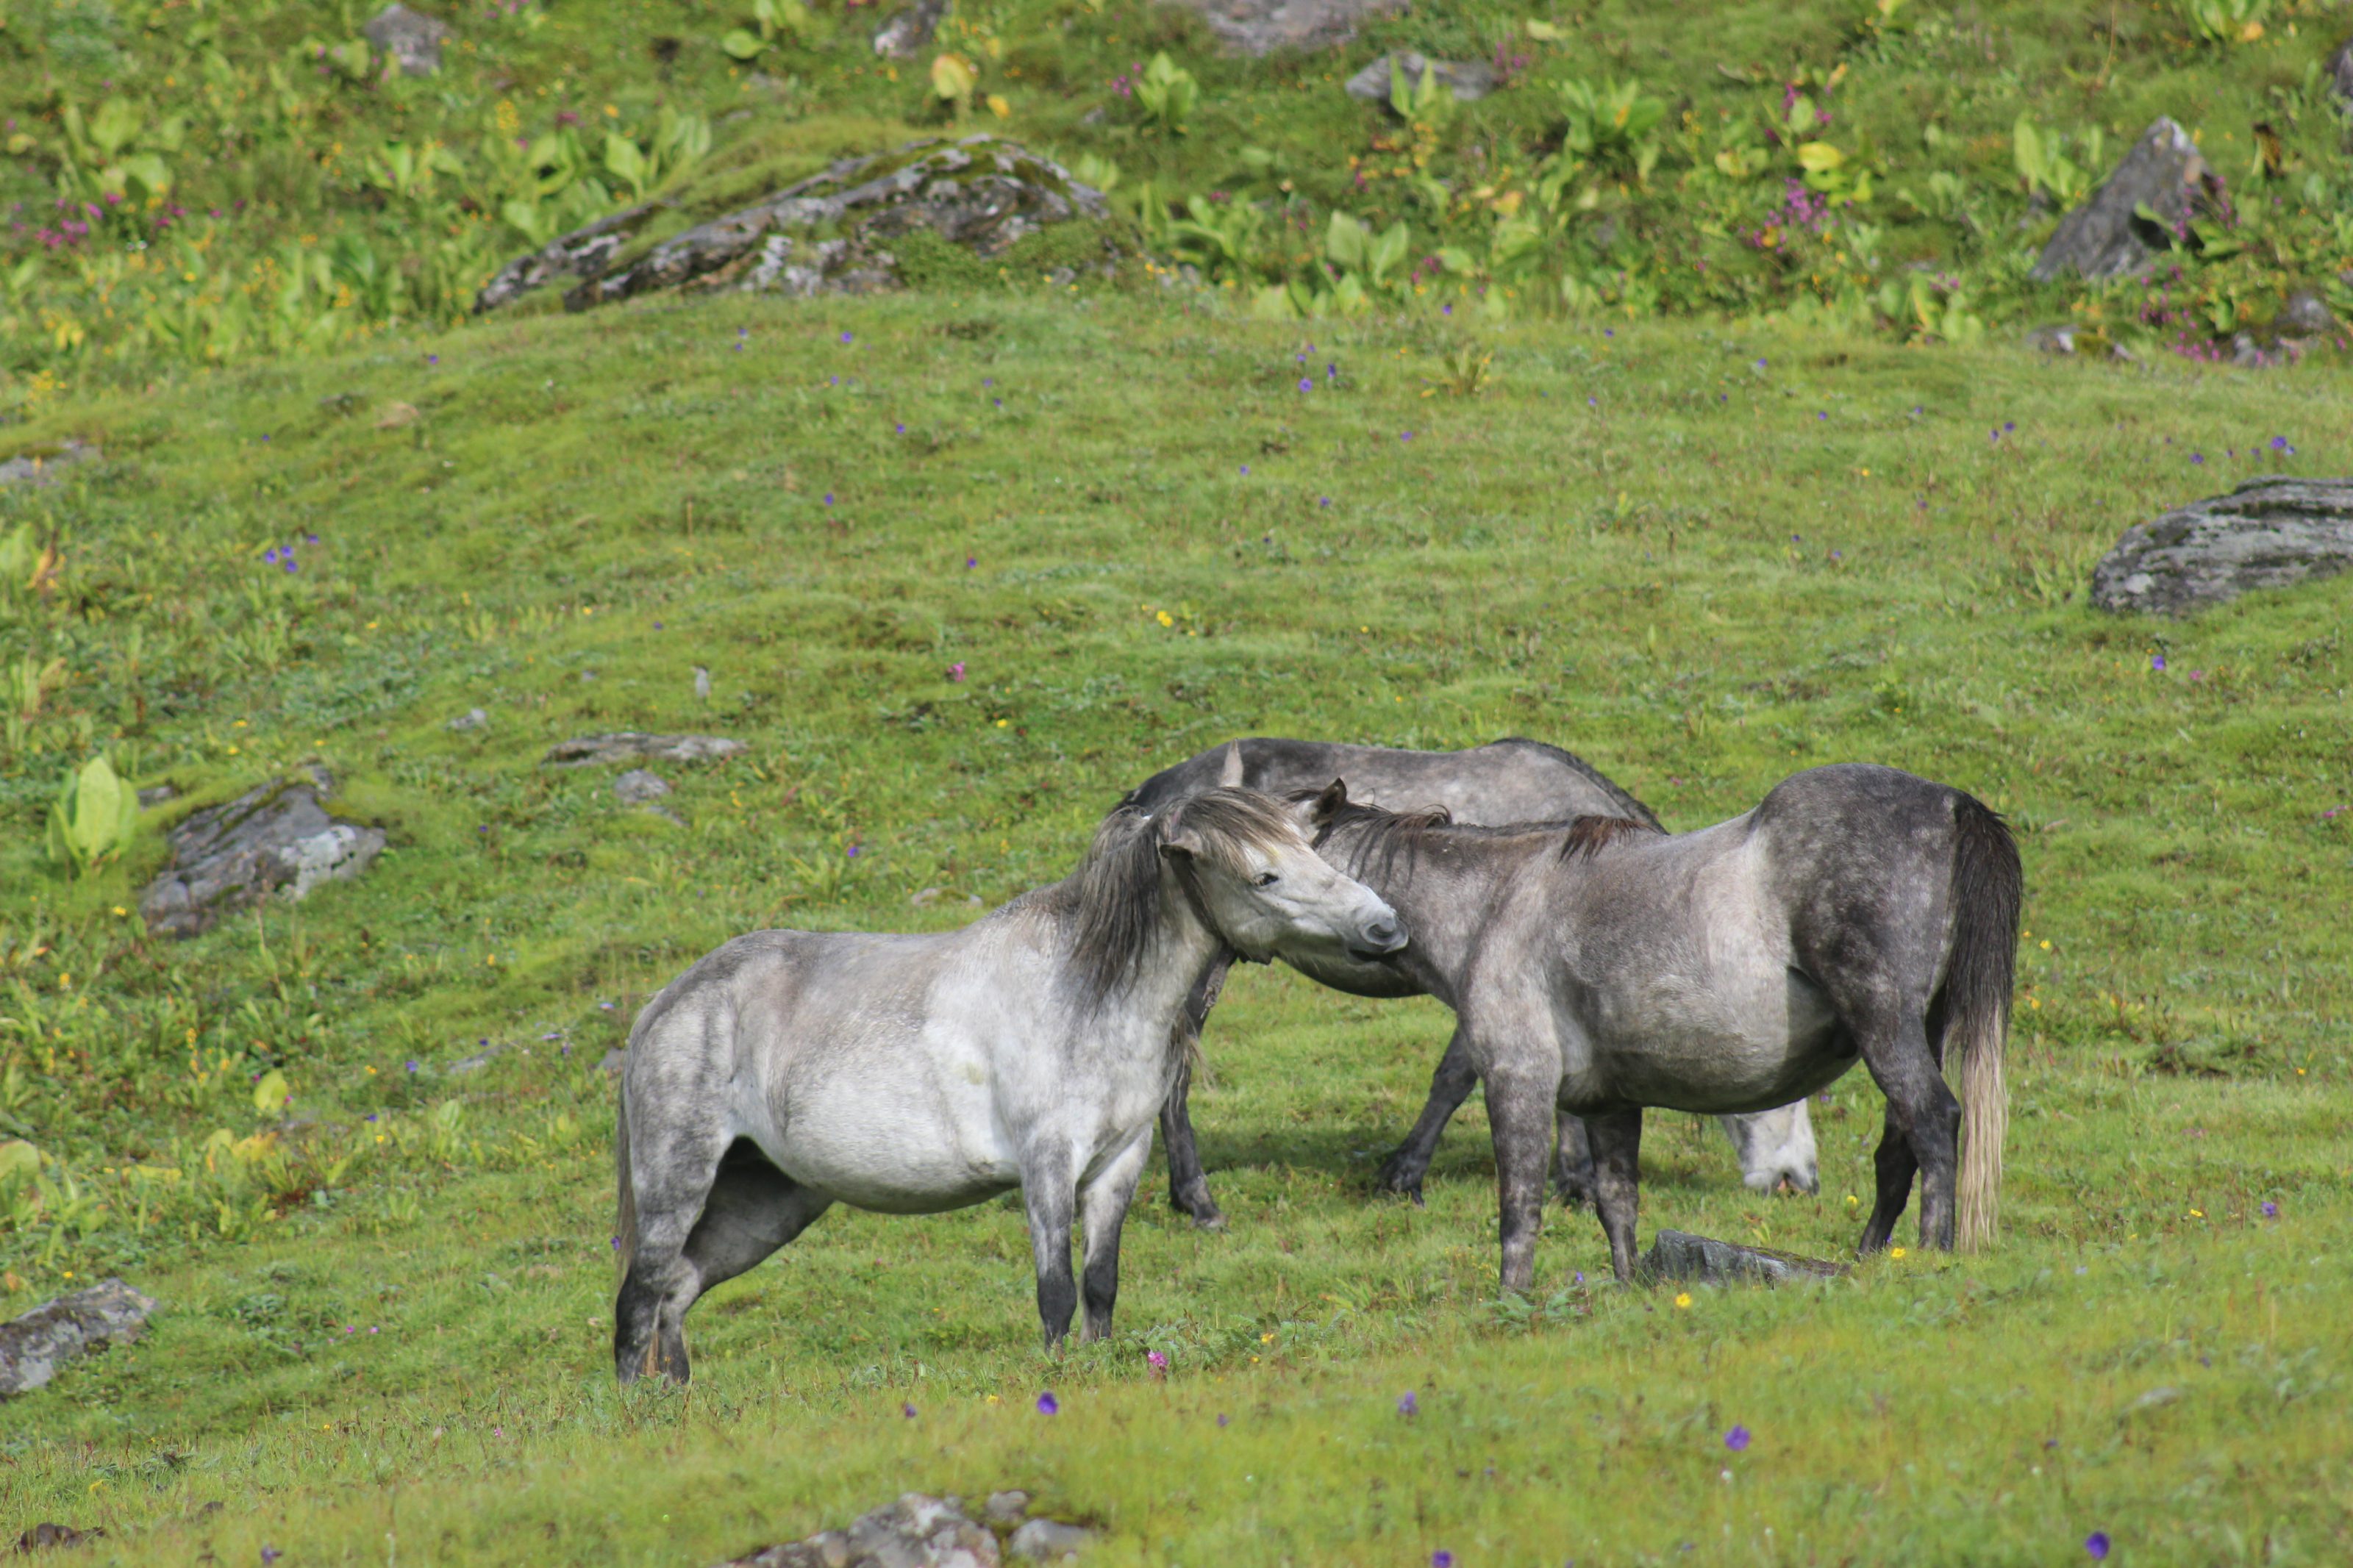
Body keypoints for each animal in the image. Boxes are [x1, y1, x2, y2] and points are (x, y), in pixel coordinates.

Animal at [616, 790, 1402, 1382]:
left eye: (1313, 853)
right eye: (1263, 876)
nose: (1385, 926)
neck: (1083, 992)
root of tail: (666, 1003)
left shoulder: (1119, 1162)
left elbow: (1100, 1283)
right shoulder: (1047, 1160)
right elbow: (1055, 1292)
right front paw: (1056, 1375)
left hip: (770, 1196)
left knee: (674, 1294)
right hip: (677, 1183)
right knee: (639, 1299)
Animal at [1120, 738, 1816, 1222]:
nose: (1801, 1181)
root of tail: (1153, 796)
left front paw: (1574, 1180)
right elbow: (1456, 1078)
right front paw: (1404, 1174)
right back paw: (1197, 1199)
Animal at [1308, 766, 2024, 1297]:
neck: (1497, 902)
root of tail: (1951, 804)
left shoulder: (1518, 1079)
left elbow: (1519, 1205)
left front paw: (1511, 1300)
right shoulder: (1610, 1102)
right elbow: (1616, 1203)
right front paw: (1628, 1290)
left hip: (1883, 1019)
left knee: (1932, 1119)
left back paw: (1931, 1252)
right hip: (1920, 1028)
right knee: (1897, 1147)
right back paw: (1870, 1259)